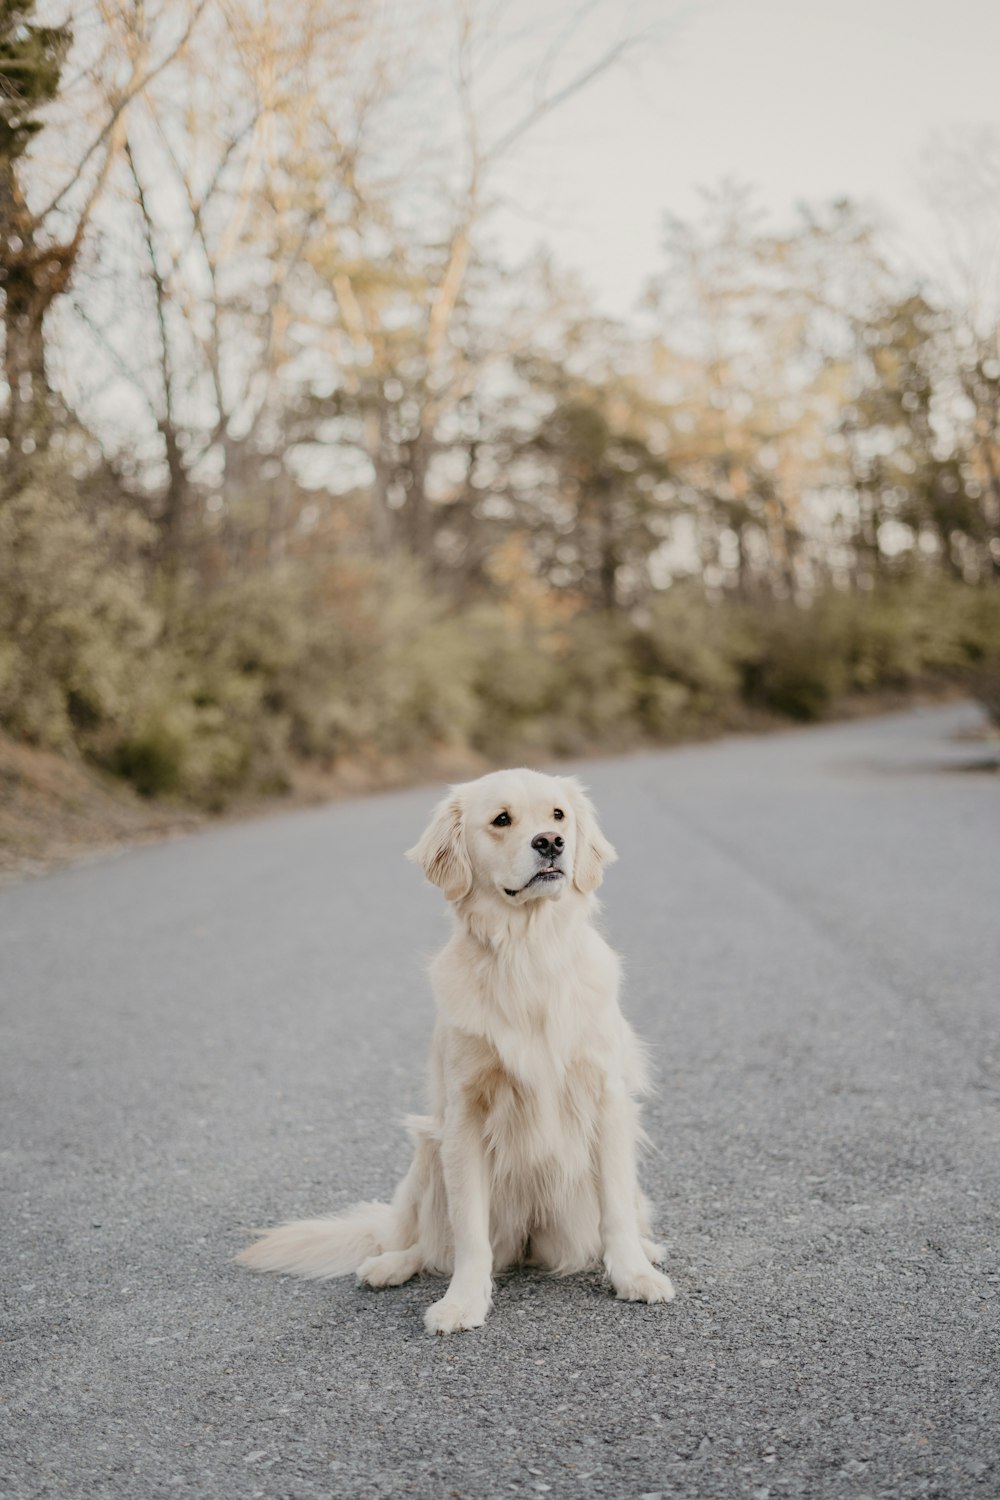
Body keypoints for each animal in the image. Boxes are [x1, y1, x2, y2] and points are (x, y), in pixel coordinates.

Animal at [236, 768, 671, 1332]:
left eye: (558, 815)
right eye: (501, 820)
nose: (551, 843)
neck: (527, 953)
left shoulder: (608, 1099)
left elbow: (615, 1207)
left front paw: (634, 1274)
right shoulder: (465, 1116)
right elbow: (468, 1231)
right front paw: (463, 1302)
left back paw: (648, 1250)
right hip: (427, 1152)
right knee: (423, 1242)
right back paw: (388, 1265)